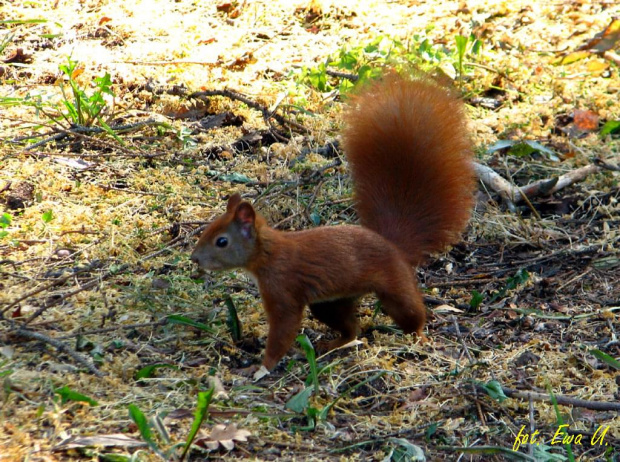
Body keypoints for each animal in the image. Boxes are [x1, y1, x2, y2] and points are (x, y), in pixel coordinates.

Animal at [191, 74, 478, 378]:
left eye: (222, 241)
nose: (194, 258)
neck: (268, 254)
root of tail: (393, 245)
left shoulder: (282, 289)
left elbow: (283, 329)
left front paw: (262, 368)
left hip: (394, 286)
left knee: (411, 313)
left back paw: (420, 337)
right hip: (329, 304)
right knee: (352, 330)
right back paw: (334, 344)